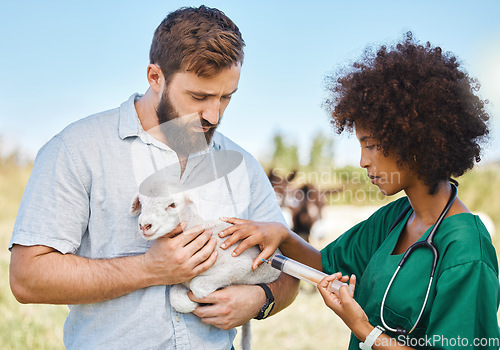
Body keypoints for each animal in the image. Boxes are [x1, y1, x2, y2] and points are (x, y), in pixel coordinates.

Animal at [130, 191, 282, 350]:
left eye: (172, 204)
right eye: (141, 202)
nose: (144, 225)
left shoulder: (242, 263)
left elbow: (197, 286)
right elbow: (176, 299)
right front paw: (190, 303)